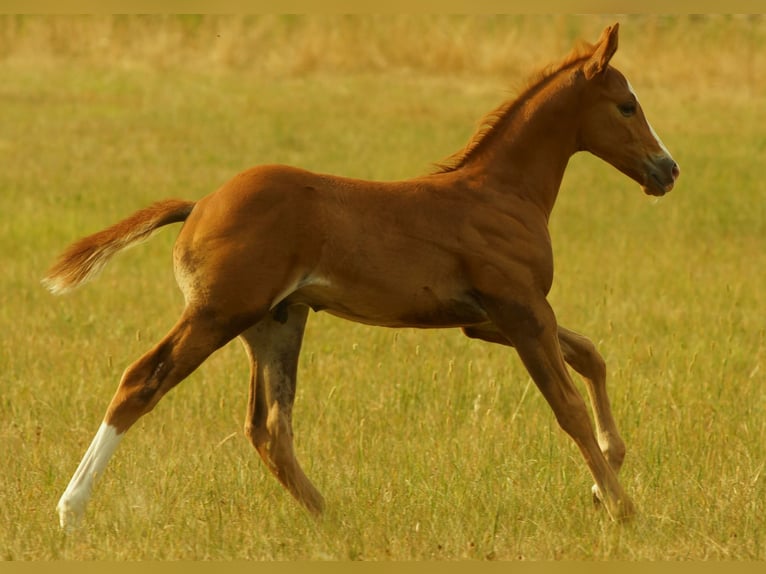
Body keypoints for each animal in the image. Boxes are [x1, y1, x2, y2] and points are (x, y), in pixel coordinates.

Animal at [45, 23, 679, 531]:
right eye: (627, 105)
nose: (667, 169)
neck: (501, 191)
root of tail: (198, 204)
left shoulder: (488, 320)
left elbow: (591, 354)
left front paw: (603, 480)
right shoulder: (521, 312)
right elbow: (567, 405)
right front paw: (623, 507)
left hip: (276, 321)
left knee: (269, 427)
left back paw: (332, 518)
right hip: (219, 313)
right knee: (142, 381)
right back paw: (71, 510)